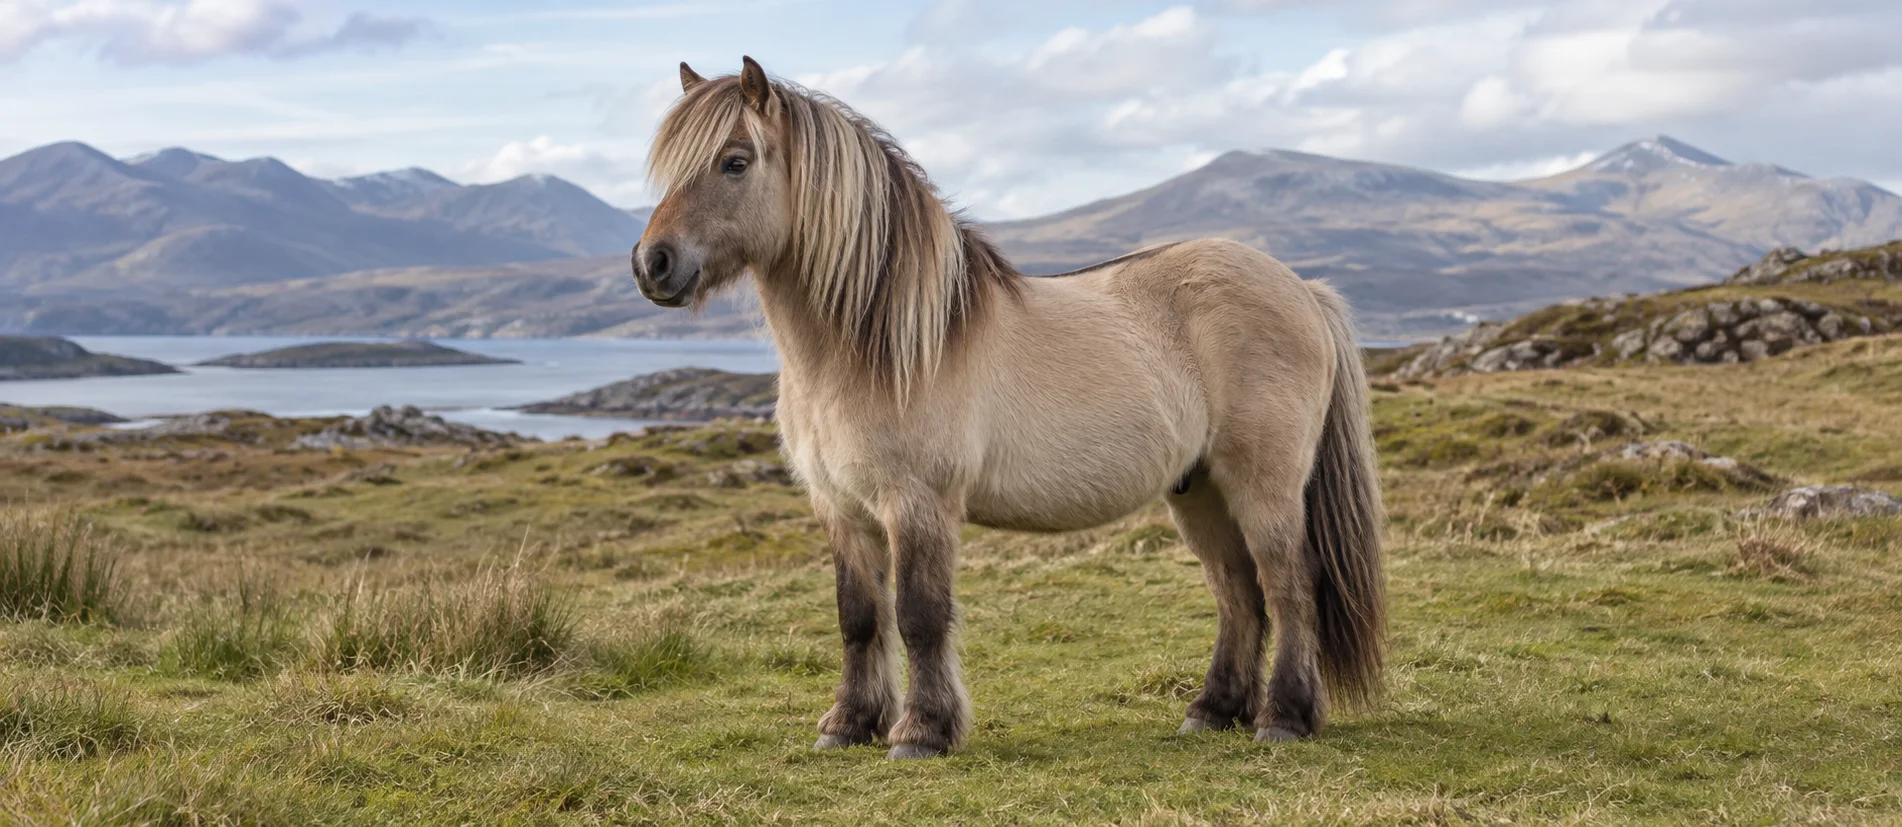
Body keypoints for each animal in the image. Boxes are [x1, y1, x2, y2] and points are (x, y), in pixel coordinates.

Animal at [632, 56, 1386, 760]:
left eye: (735, 161)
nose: (652, 264)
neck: (879, 344)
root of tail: (1303, 288)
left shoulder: (918, 502)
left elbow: (919, 616)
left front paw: (921, 731)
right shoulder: (841, 508)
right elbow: (858, 617)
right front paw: (848, 725)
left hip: (1262, 481)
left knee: (1289, 583)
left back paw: (1284, 717)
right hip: (1198, 488)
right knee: (1238, 590)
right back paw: (1212, 710)